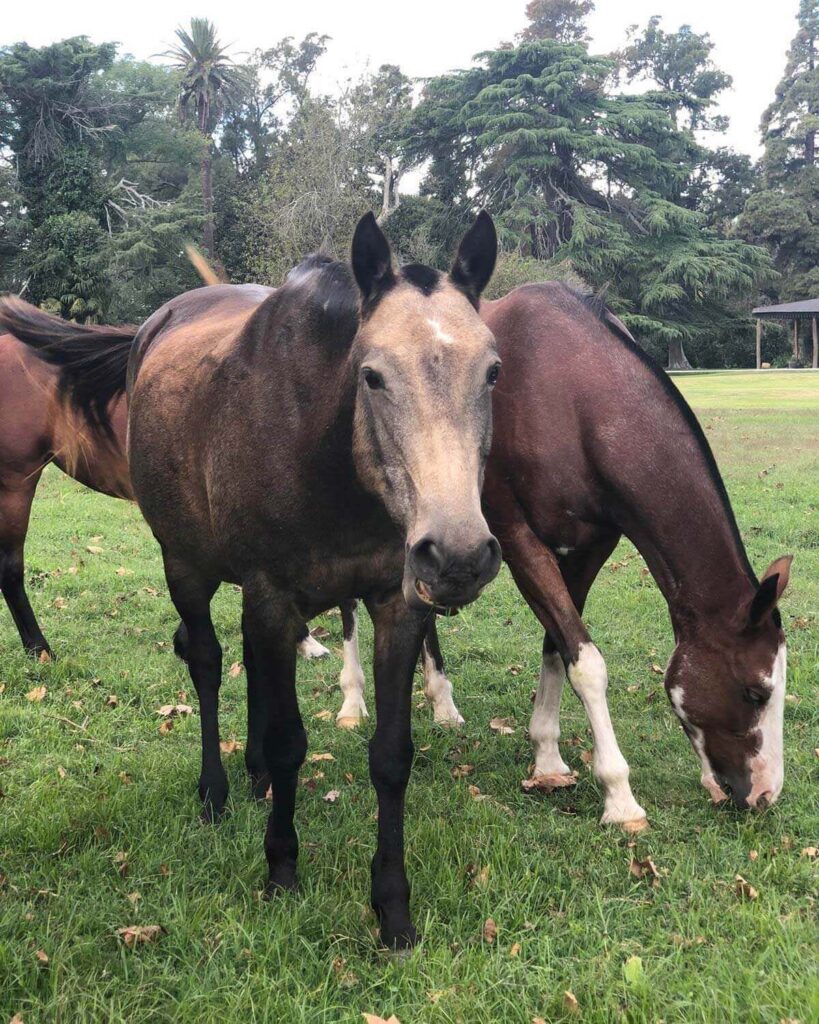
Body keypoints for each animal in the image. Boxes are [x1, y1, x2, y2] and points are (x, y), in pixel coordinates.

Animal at [331, 283, 791, 830]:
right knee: (349, 603)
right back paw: (352, 699)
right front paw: (619, 795)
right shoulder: (516, 539)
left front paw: (547, 757)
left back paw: (442, 703)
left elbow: (559, 645)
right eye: (755, 692)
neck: (572, 397)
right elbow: (587, 663)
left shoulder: (587, 549)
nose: (764, 793)